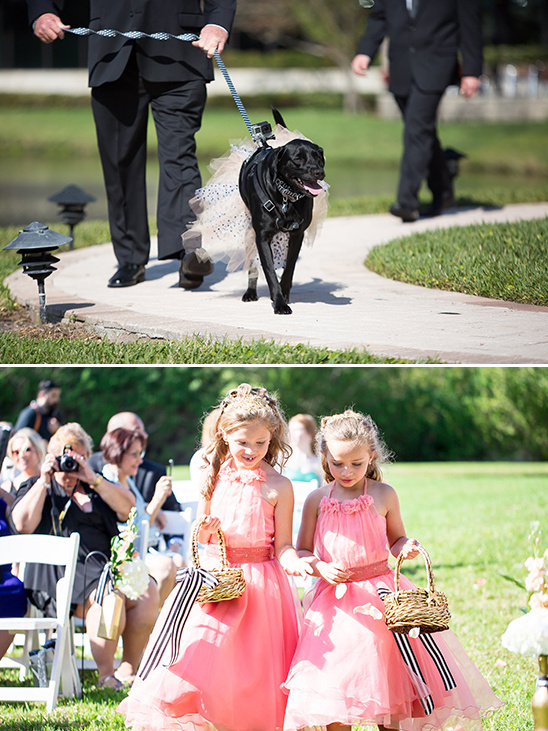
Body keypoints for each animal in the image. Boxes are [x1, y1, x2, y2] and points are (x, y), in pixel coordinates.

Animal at [239, 111, 326, 314]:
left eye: (318, 157)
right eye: (298, 159)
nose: (319, 172)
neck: (286, 195)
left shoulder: (297, 234)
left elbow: (289, 268)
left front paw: (283, 294)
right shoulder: (262, 237)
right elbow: (270, 271)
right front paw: (279, 303)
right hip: (249, 233)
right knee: (252, 265)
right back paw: (250, 292)